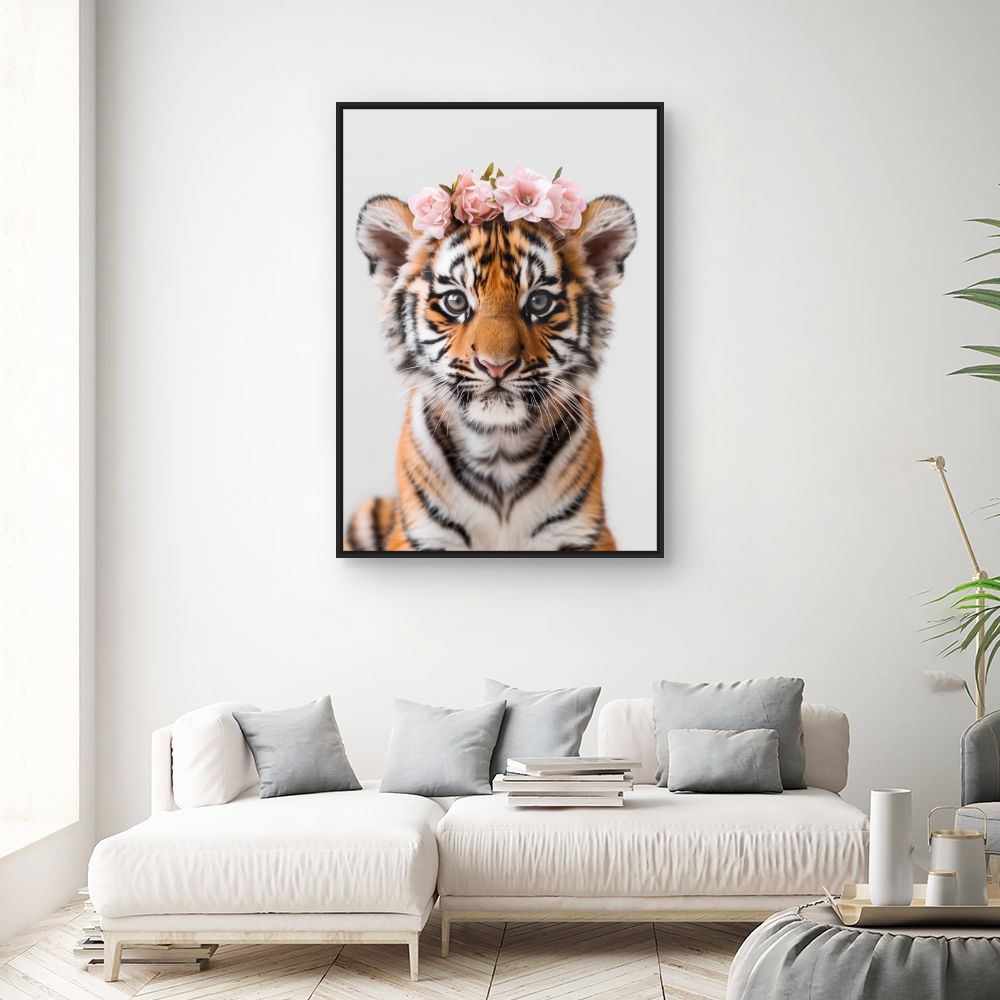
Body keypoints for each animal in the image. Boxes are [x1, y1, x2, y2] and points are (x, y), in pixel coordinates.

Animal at [343, 192, 637, 552]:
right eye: (455, 301)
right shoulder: (422, 535)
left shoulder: (581, 533)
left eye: (539, 302)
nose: (496, 365)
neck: (498, 449)